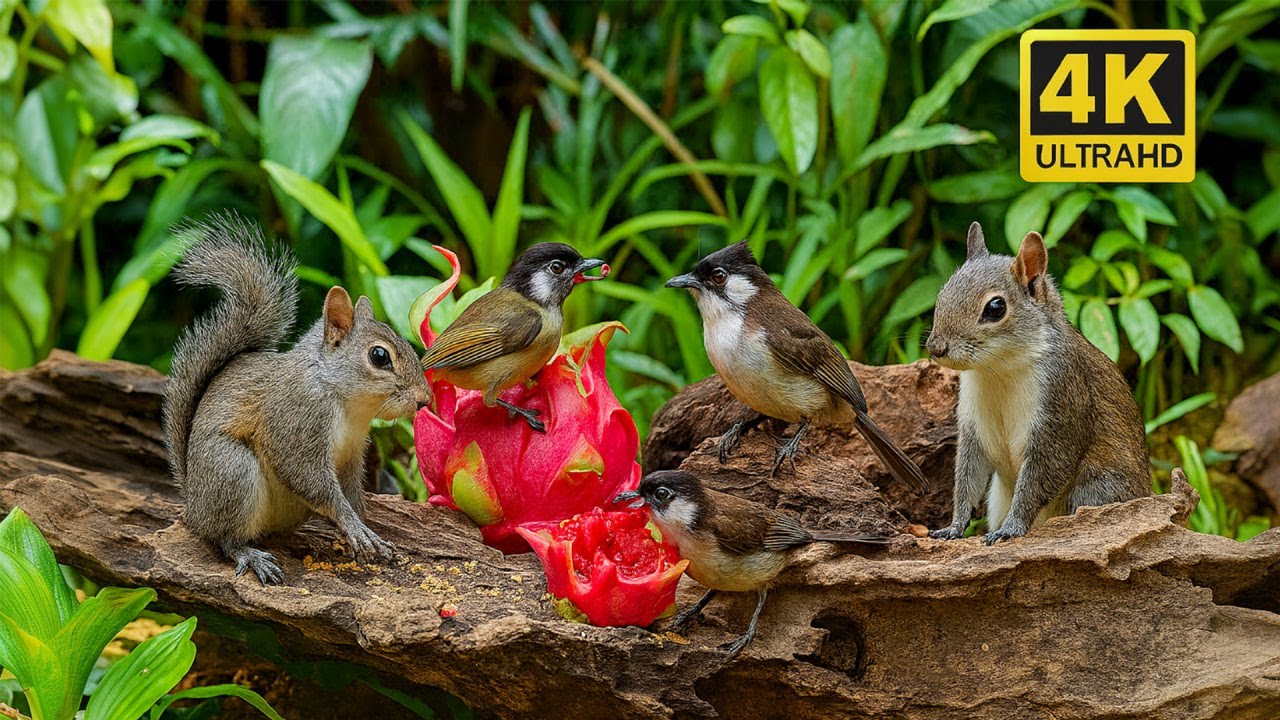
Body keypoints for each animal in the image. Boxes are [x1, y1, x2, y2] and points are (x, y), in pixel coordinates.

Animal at [162, 214, 432, 584]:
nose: (424, 399)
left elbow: (351, 492)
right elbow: (310, 479)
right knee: (223, 538)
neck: (347, 401)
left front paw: (363, 528)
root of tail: (192, 506)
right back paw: (250, 554)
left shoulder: (352, 453)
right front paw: (354, 527)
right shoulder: (297, 419)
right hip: (231, 471)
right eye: (379, 356)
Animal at [925, 222, 1150, 545]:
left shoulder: (1061, 403)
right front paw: (954, 527)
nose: (935, 347)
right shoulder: (973, 423)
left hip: (1097, 489)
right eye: (944, 291)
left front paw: (1011, 528)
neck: (997, 371)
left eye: (995, 307)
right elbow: (967, 477)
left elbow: (1039, 478)